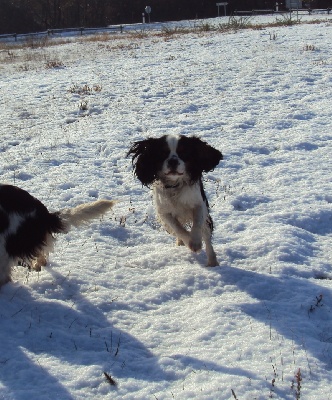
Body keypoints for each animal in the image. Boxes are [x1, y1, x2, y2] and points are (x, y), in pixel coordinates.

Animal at [127, 136, 223, 268]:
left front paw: (196, 243)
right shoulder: (164, 212)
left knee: (207, 237)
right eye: (163, 153)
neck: (175, 185)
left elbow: (197, 224)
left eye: (183, 152)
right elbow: (178, 228)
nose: (173, 161)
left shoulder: (199, 204)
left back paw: (212, 262)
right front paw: (189, 242)